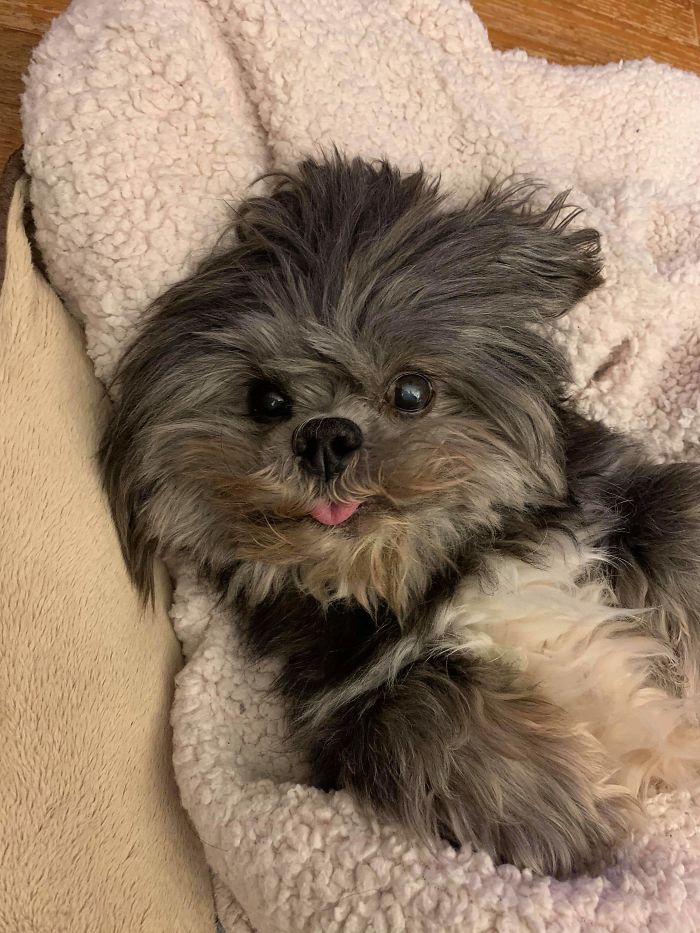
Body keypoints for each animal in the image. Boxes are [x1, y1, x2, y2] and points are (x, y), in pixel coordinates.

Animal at [98, 151, 700, 872]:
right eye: (265, 400)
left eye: (412, 391)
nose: (325, 436)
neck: (425, 570)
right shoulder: (345, 700)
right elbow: (424, 714)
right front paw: (569, 808)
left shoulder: (620, 505)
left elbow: (680, 528)